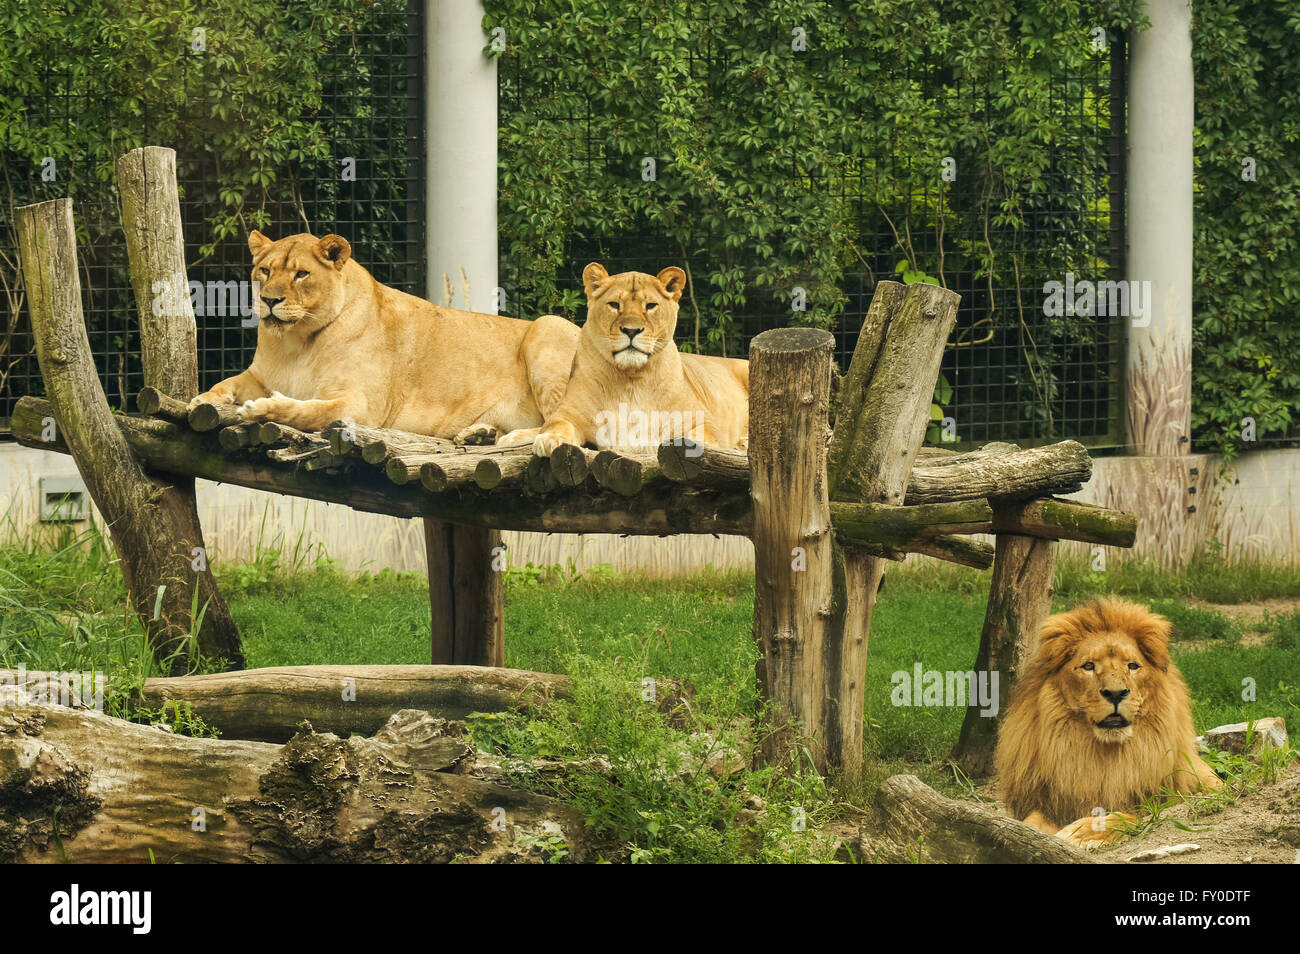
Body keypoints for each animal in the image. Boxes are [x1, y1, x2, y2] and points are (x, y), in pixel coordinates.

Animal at [188, 231, 579, 441]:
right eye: (265, 271)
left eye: (301, 274)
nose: (269, 300)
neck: (299, 342)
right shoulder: (258, 376)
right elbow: (226, 383)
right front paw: (200, 400)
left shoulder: (360, 404)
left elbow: (310, 411)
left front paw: (264, 409)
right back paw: (481, 434)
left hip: (548, 326)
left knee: (572, 431)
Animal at [506, 261, 754, 454]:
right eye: (614, 304)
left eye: (651, 305)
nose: (632, 330)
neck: (631, 379)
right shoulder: (569, 414)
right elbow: (556, 425)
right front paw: (549, 440)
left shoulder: (703, 422)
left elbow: (691, 439)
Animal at [993, 600, 1216, 857]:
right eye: (1089, 666)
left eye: (1132, 666)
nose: (1116, 693)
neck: (1106, 759)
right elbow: (1030, 820)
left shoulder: (1205, 789)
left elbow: (1128, 814)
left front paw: (1082, 833)